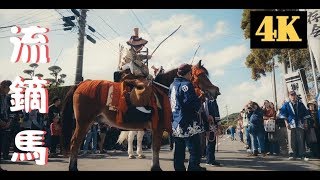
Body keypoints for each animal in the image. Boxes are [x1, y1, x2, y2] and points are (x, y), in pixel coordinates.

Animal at [61, 60, 219, 170]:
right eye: (201, 75)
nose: (215, 90)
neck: (165, 89)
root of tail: (81, 83)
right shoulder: (158, 127)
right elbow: (156, 147)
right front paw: (156, 168)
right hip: (84, 121)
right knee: (75, 143)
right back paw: (73, 167)